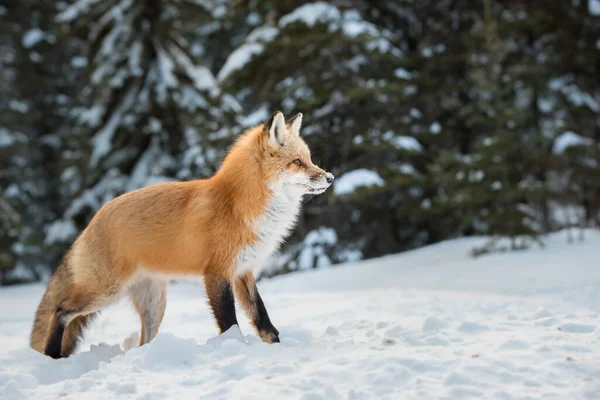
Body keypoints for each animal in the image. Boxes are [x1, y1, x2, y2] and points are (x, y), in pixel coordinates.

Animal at [31, 111, 332, 358]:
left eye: (309, 160)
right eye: (297, 162)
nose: (329, 177)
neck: (238, 206)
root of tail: (91, 223)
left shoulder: (243, 271)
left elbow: (263, 320)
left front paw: (277, 347)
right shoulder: (216, 274)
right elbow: (230, 322)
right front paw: (235, 348)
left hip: (154, 304)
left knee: (142, 341)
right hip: (106, 291)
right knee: (60, 311)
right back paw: (52, 356)